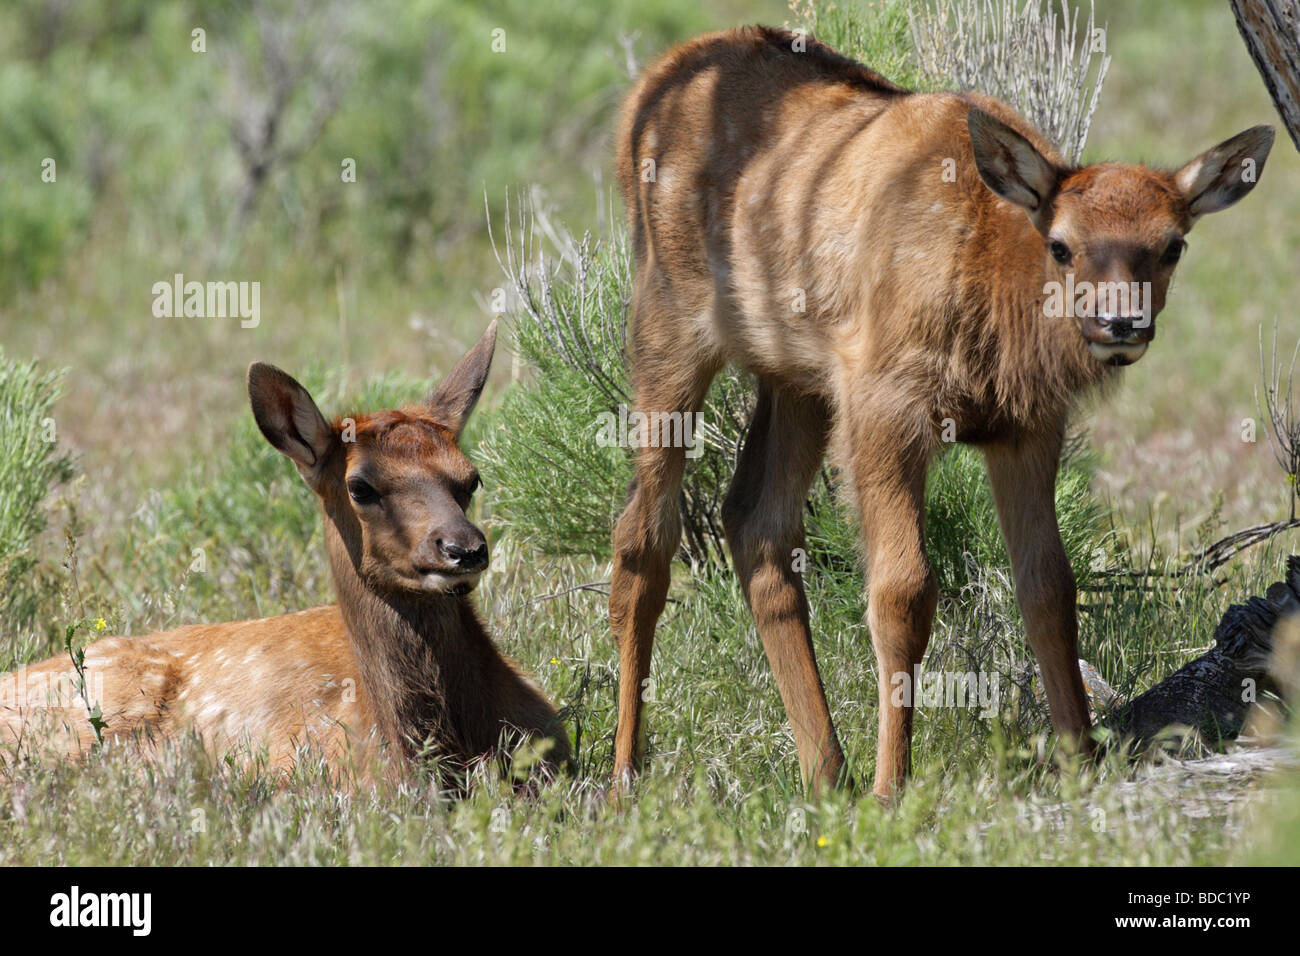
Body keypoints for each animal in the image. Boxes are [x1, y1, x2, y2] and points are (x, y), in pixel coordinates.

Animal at [613, 24, 1274, 801]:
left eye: (1172, 244)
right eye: (1062, 244)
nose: (1120, 323)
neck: (995, 301)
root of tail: (646, 91)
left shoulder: (1026, 429)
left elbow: (1050, 587)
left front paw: (1081, 762)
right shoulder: (885, 403)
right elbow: (902, 593)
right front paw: (891, 786)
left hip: (796, 379)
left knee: (754, 522)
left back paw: (825, 771)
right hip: (667, 321)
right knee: (642, 539)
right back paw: (624, 774)